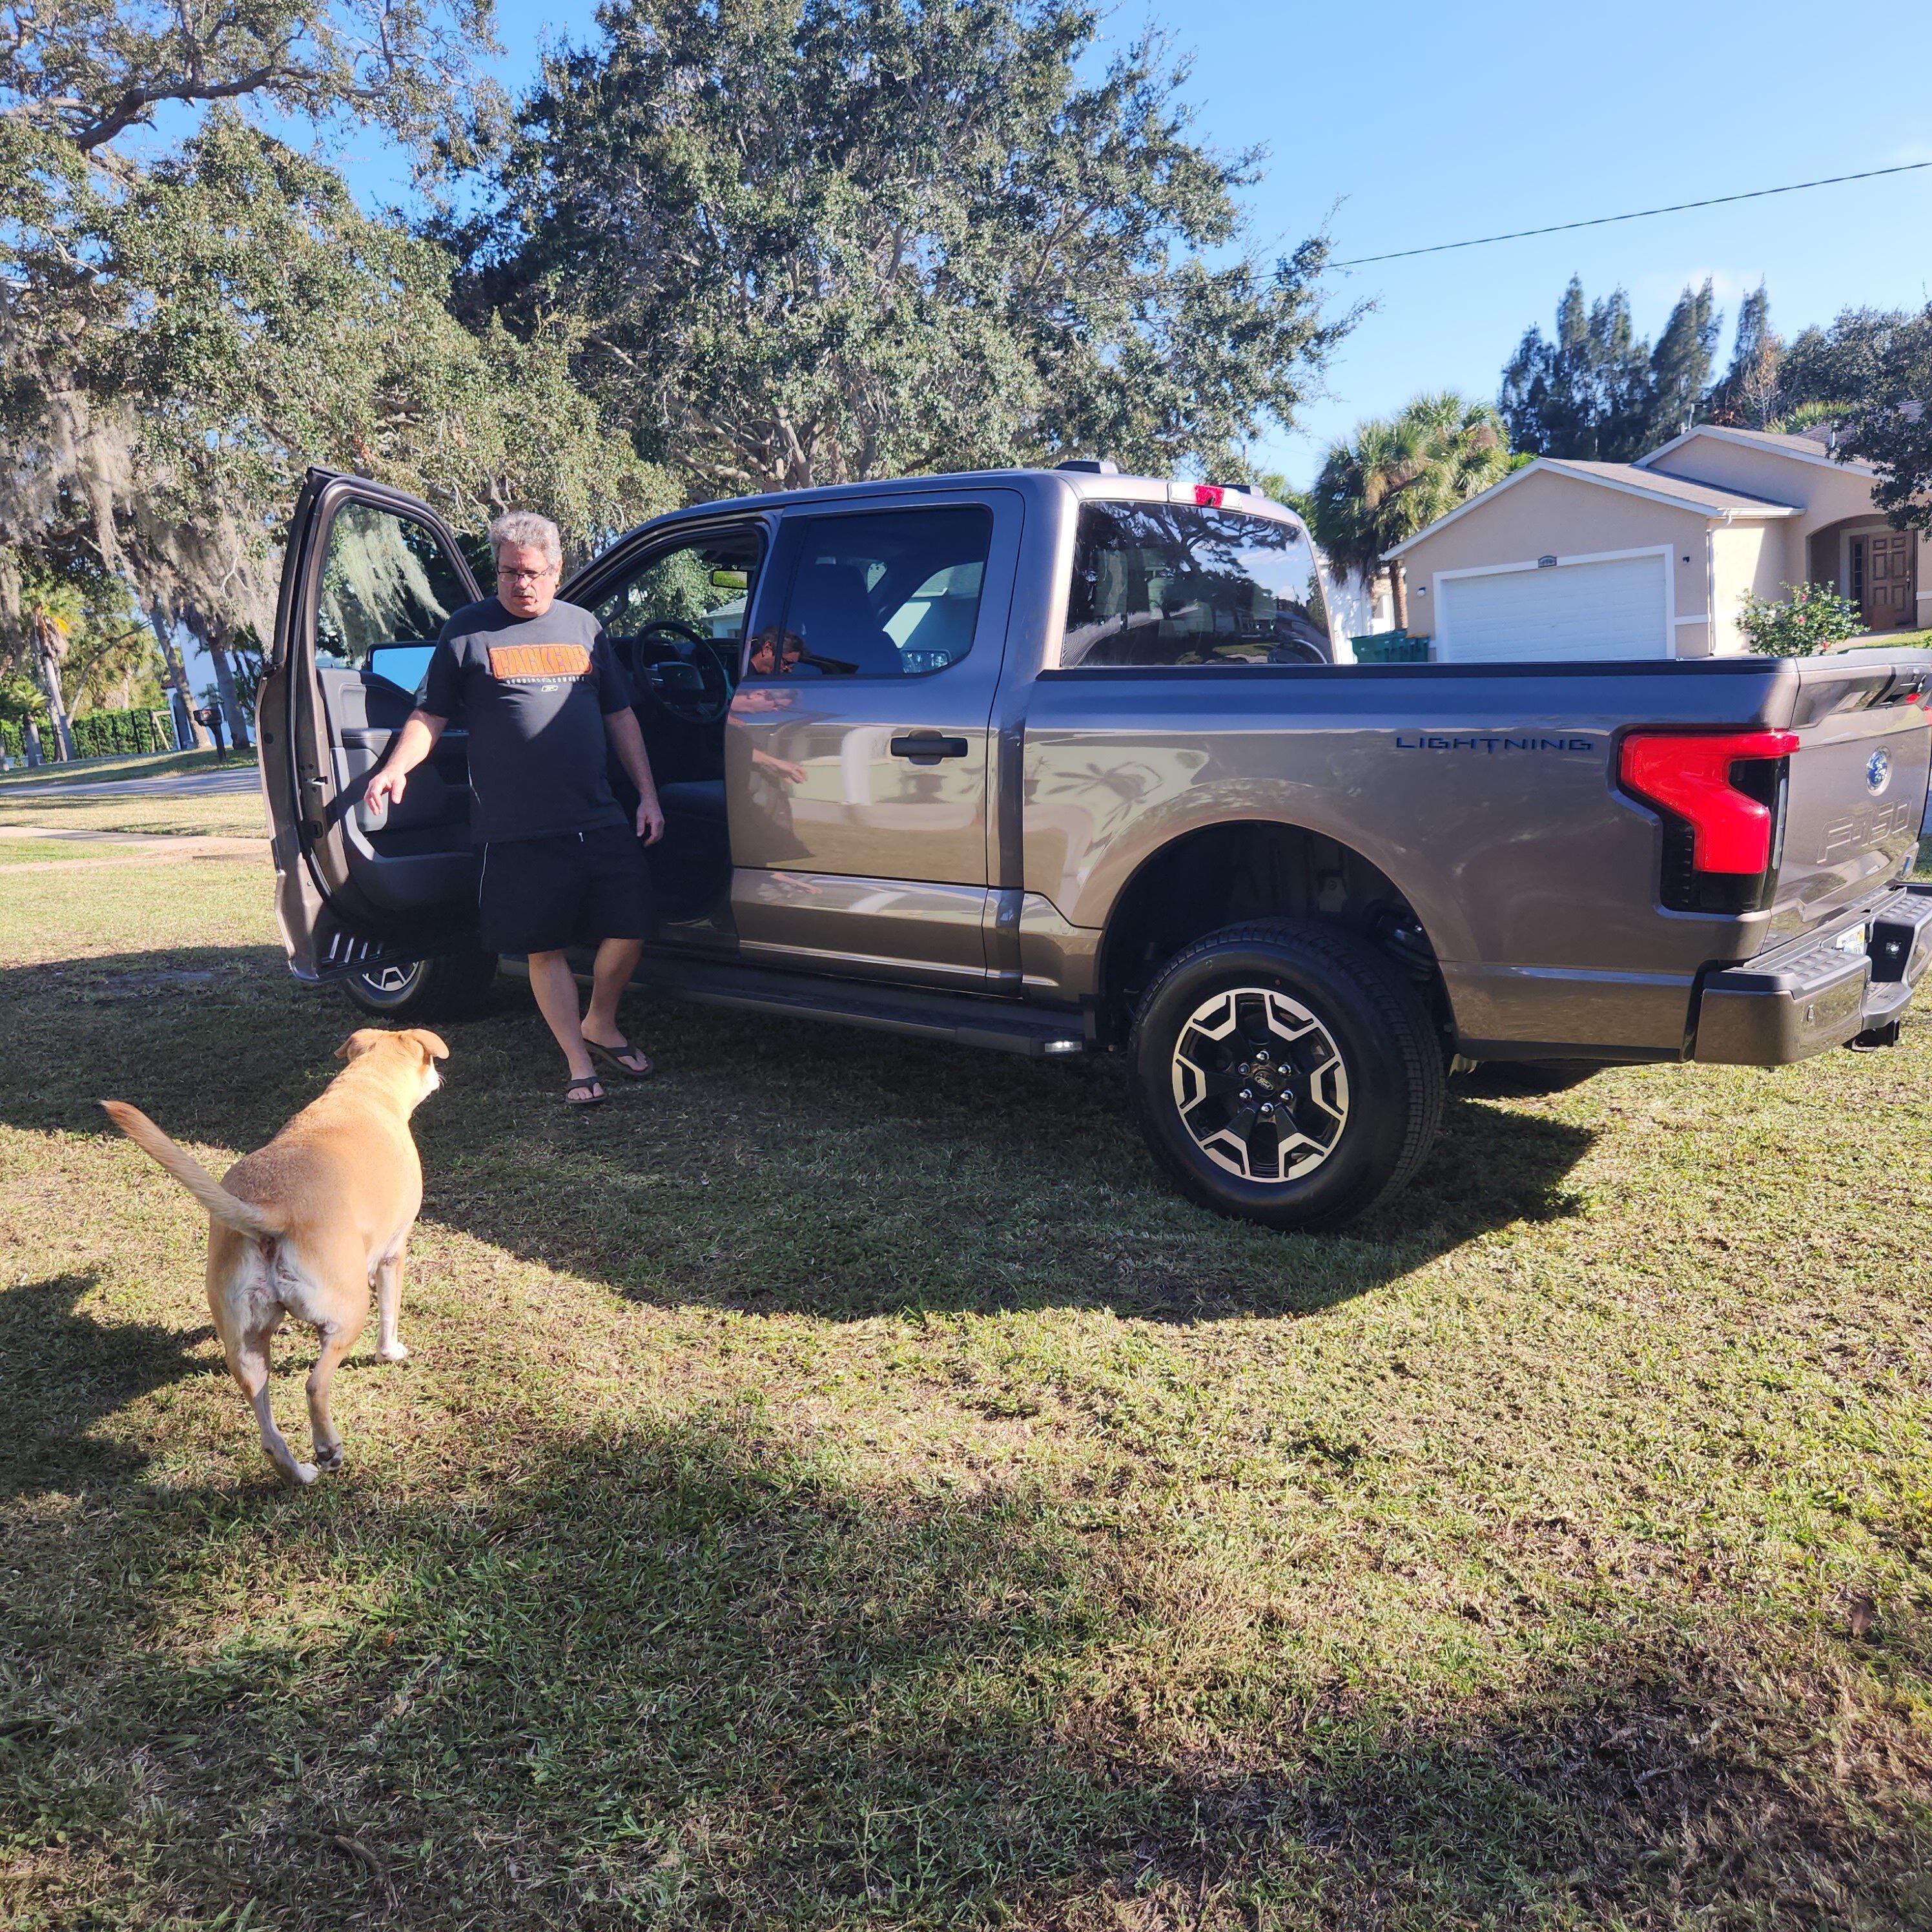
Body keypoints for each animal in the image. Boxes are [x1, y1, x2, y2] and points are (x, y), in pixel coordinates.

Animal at [103, 1035, 448, 1483]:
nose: (440, 1077)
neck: (364, 1088)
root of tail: (273, 1210)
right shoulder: (394, 1252)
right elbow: (390, 1312)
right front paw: (390, 1353)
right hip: (347, 1314)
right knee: (315, 1385)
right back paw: (328, 1450)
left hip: (247, 1348)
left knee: (268, 1432)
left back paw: (299, 1473)